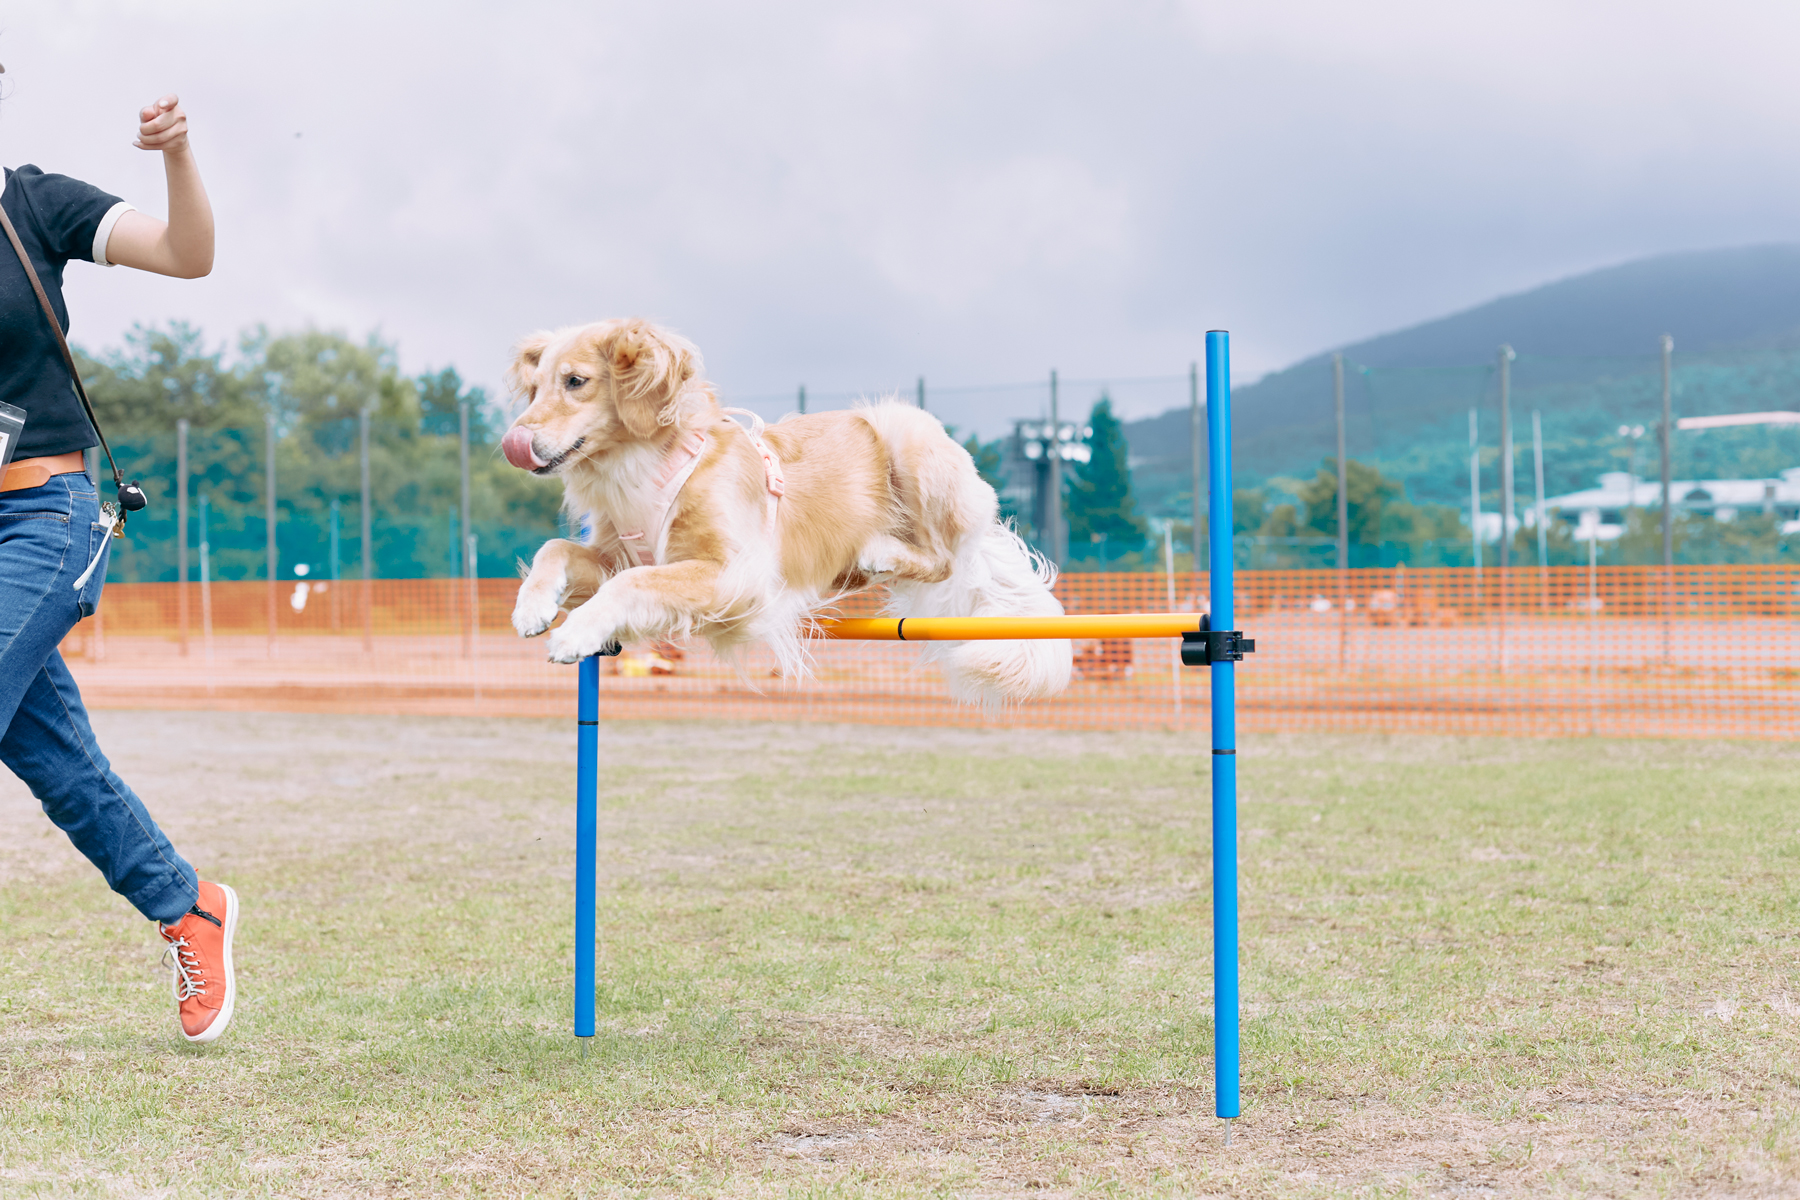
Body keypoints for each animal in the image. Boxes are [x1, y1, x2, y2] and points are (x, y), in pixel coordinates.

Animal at [496, 322, 1065, 712]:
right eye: (536, 388)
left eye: (576, 381)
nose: (512, 442)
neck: (640, 465)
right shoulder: (622, 552)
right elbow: (557, 549)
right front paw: (533, 606)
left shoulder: (734, 575)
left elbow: (629, 584)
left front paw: (573, 634)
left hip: (907, 431)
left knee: (942, 558)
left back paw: (882, 549)